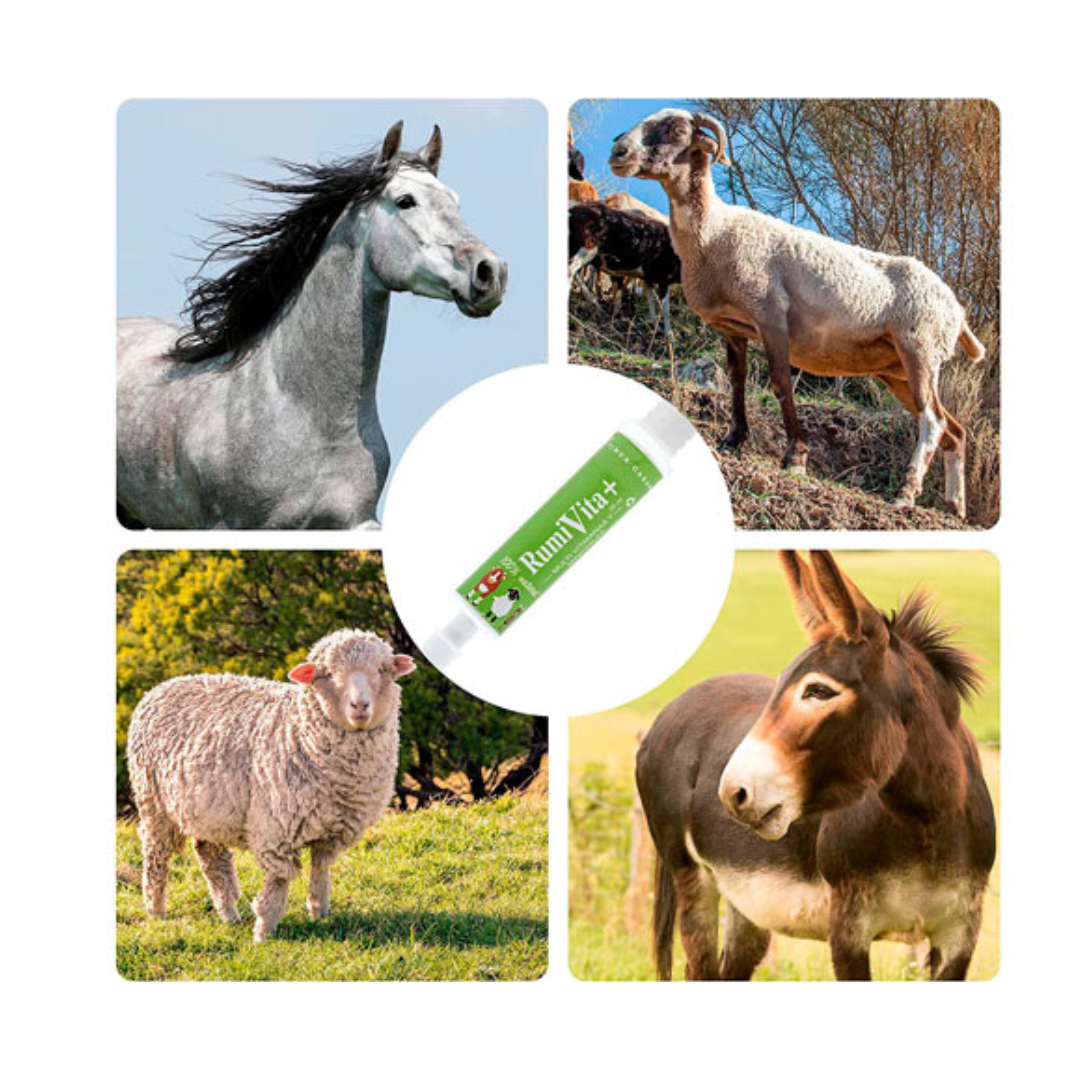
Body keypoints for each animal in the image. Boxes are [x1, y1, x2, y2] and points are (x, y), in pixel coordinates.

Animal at [126, 628, 415, 942]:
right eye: (327, 673)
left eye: (382, 670)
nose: (360, 706)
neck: (299, 729)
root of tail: (160, 687)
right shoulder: (278, 829)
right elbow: (279, 881)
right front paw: (264, 931)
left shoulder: (333, 829)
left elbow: (321, 869)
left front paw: (319, 912)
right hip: (152, 801)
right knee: (156, 855)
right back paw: (156, 911)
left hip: (209, 809)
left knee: (211, 857)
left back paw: (229, 913)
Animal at [569, 201, 682, 340]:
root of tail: (573, 210)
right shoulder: (663, 278)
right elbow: (665, 308)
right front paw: (670, 337)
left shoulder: (648, 278)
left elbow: (651, 303)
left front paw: (655, 327)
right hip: (587, 248)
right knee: (571, 271)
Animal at [609, 108, 986, 517]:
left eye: (678, 130)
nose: (618, 152)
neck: (714, 230)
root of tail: (958, 311)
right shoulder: (732, 327)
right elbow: (737, 380)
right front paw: (733, 439)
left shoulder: (770, 314)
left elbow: (779, 383)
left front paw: (795, 457)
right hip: (897, 369)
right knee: (954, 430)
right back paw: (955, 506)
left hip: (920, 347)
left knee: (932, 422)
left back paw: (906, 490)